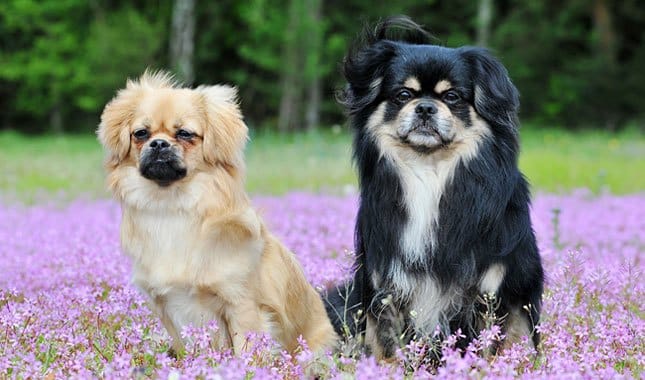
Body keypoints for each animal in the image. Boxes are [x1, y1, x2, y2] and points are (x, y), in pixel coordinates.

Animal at [97, 70, 338, 354]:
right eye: (141, 133)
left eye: (185, 134)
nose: (158, 144)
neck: (171, 205)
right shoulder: (167, 308)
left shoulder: (241, 304)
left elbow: (245, 350)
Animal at [324, 17, 540, 360]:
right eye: (403, 94)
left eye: (451, 97)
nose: (425, 107)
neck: (429, 170)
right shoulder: (385, 288)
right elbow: (387, 345)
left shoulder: (491, 292)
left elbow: (488, 345)